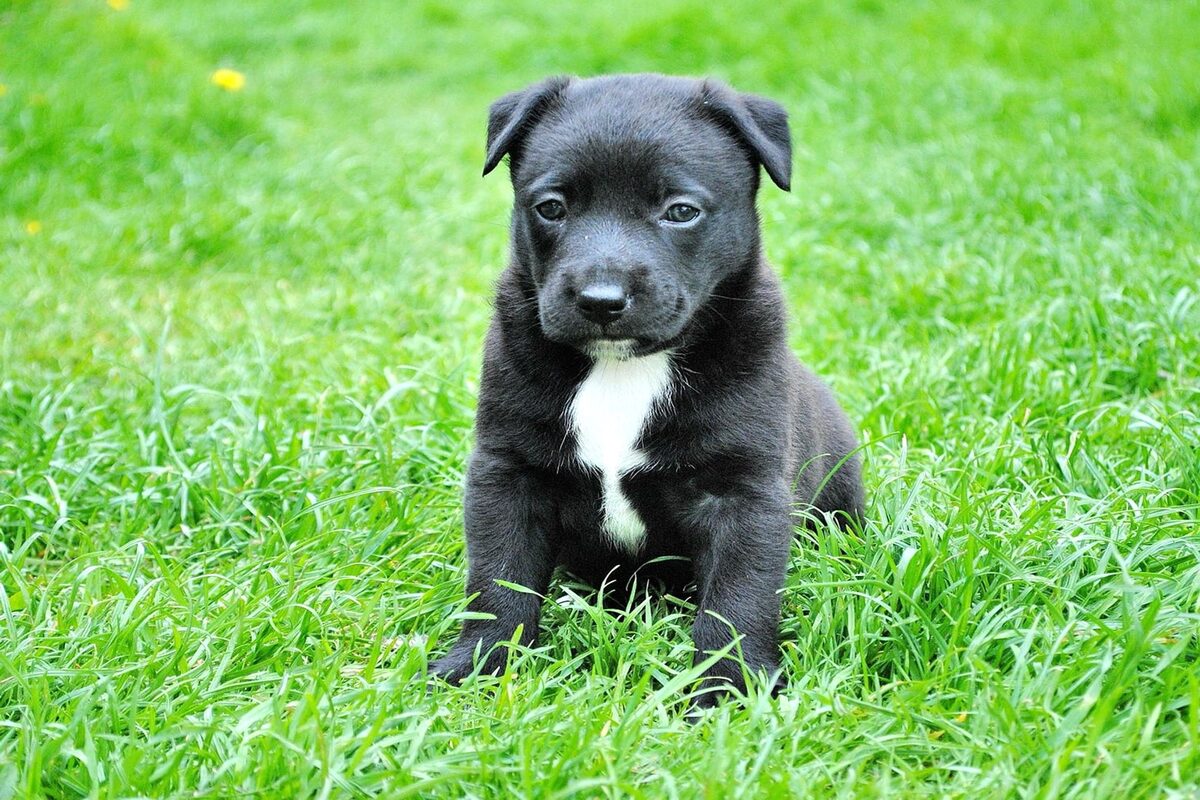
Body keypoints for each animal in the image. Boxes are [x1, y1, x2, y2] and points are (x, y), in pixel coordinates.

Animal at [432, 71, 864, 705]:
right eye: (551, 207)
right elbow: (498, 578)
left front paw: (727, 689)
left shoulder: (743, 491)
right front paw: (482, 663)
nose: (601, 299)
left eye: (681, 211)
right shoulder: (509, 472)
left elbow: (738, 597)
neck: (623, 367)